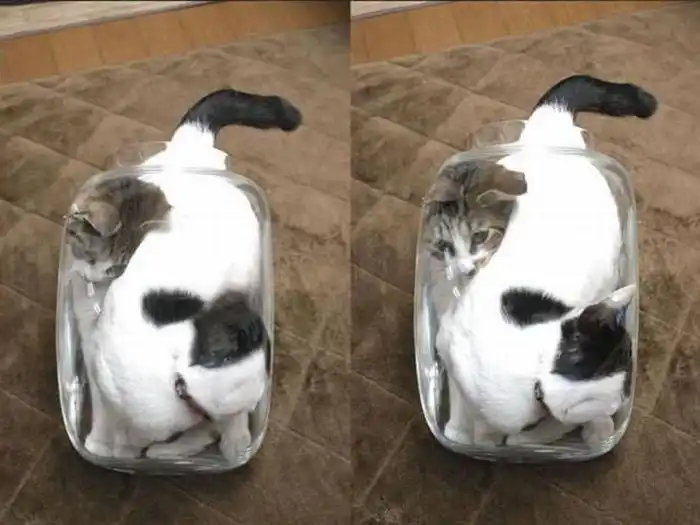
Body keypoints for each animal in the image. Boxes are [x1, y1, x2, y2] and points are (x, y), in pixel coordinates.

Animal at [435, 75, 655, 447]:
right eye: (627, 357)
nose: (627, 395)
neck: (534, 371)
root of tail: (552, 125)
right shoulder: (449, 339)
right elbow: (462, 396)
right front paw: (462, 431)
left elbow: (540, 431)